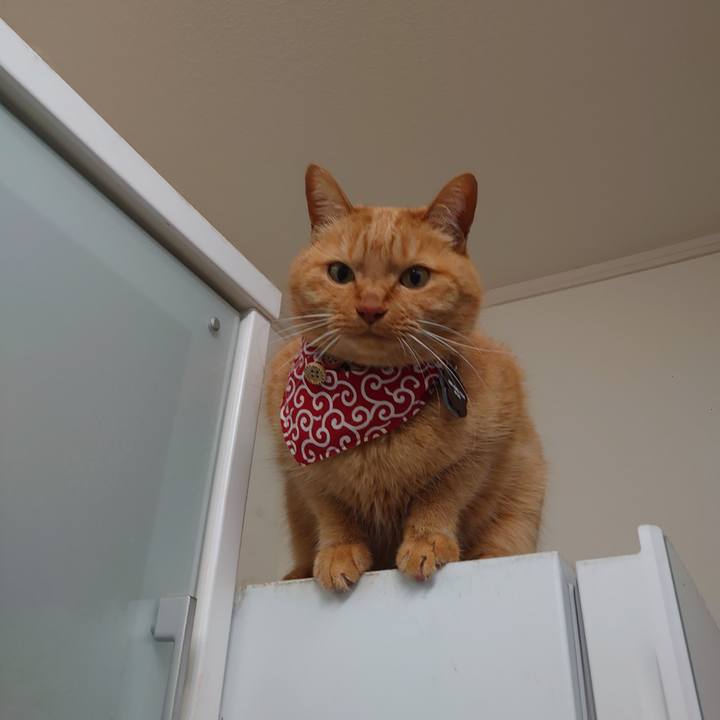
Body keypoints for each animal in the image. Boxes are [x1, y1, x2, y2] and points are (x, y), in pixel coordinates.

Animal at [265, 165, 546, 591]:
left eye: (415, 278)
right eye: (339, 273)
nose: (370, 307)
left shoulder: (482, 450)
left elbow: (438, 498)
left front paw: (426, 543)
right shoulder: (303, 474)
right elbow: (334, 513)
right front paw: (338, 552)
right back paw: (296, 572)